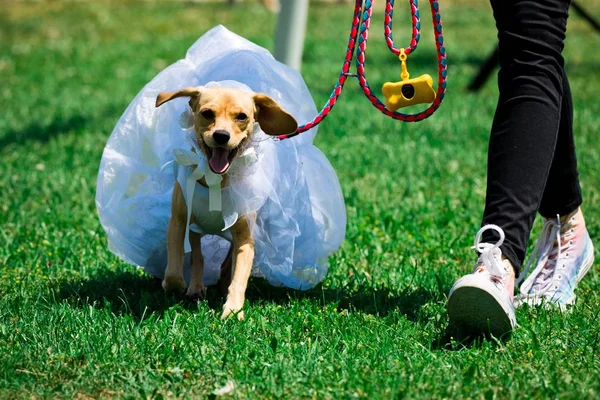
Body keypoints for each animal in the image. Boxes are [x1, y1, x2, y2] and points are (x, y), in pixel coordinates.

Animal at [154, 86, 296, 318]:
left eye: (242, 117)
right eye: (207, 113)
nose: (221, 135)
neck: (216, 180)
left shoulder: (245, 238)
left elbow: (239, 276)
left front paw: (233, 310)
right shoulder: (178, 222)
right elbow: (176, 269)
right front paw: (175, 285)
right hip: (194, 228)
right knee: (197, 255)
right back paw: (196, 287)